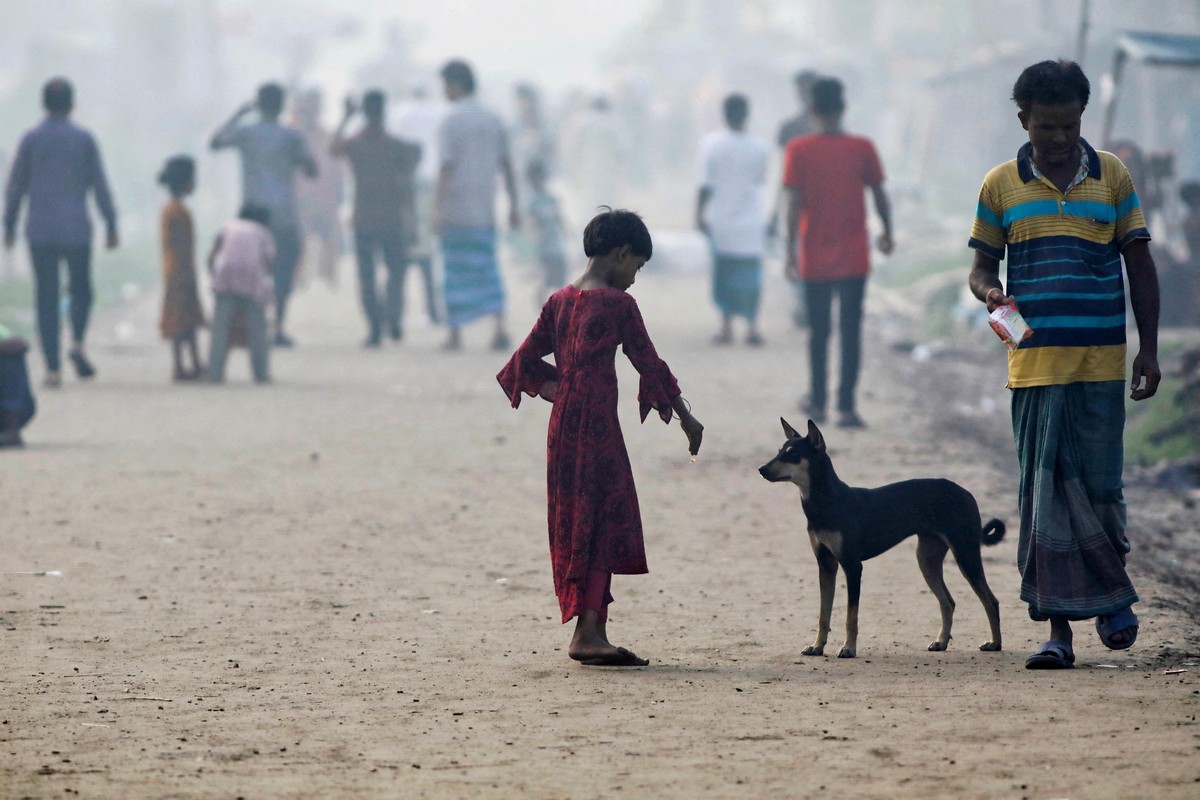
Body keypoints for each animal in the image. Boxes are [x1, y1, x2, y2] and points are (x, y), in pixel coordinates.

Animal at [758, 419, 1003, 657]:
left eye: (792, 453)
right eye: (780, 451)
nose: (761, 469)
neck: (828, 501)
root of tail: (968, 494)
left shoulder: (852, 566)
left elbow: (851, 615)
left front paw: (848, 648)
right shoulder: (825, 564)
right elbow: (823, 613)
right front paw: (817, 646)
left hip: (965, 554)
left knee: (991, 601)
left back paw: (995, 644)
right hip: (927, 559)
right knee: (948, 602)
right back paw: (941, 642)